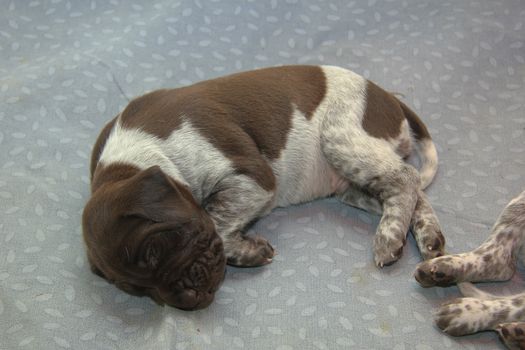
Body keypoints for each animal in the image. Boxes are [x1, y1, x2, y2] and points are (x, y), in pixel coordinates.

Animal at [84, 65, 444, 308]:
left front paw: (247, 249)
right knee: (409, 191)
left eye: (155, 250)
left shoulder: (254, 177)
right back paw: (428, 237)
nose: (190, 300)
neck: (135, 157)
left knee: (406, 178)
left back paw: (389, 238)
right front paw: (250, 252)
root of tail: (386, 96)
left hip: (343, 139)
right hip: (353, 183)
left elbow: (214, 219)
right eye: (138, 290)